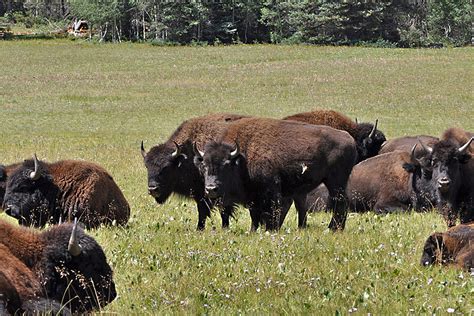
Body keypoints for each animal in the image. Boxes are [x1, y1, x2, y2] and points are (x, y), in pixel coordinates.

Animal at [193, 117, 356, 231]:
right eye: (204, 165)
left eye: (225, 165)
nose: (211, 189)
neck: (242, 157)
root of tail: (348, 138)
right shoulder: (253, 196)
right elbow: (254, 214)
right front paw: (253, 230)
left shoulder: (271, 190)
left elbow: (272, 211)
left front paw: (270, 229)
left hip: (335, 182)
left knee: (340, 203)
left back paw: (332, 229)